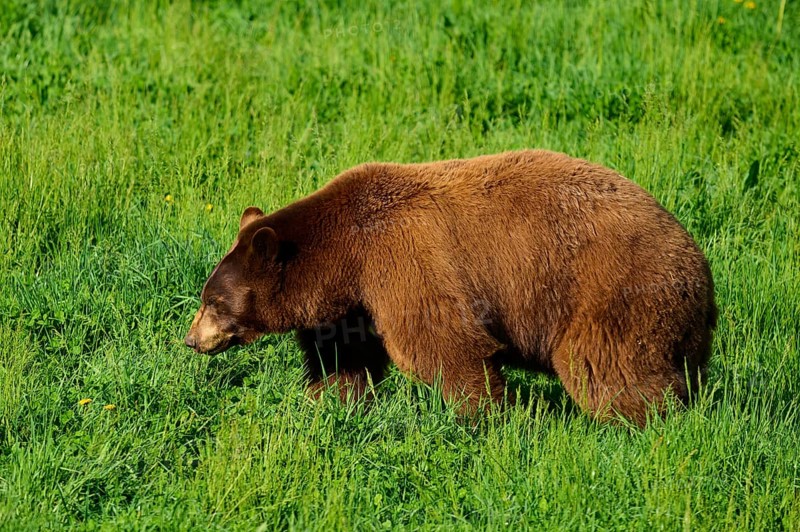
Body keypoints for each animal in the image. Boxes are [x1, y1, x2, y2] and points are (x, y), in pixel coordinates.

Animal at [184, 150, 716, 426]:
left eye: (213, 301)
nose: (190, 339)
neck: (345, 256)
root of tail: (701, 273)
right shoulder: (353, 306)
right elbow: (343, 359)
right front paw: (330, 405)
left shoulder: (400, 259)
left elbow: (443, 342)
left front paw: (485, 416)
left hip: (612, 293)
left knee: (607, 368)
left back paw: (642, 422)